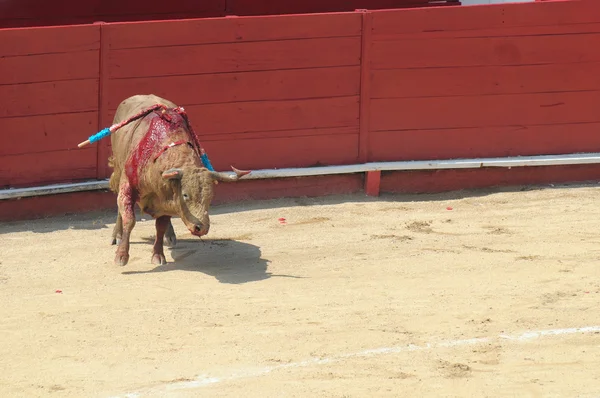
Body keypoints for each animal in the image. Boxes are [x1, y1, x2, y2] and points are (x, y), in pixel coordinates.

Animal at [107, 94, 248, 266]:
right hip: (118, 168)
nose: (201, 228)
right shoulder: (128, 185)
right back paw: (117, 236)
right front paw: (121, 256)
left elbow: (160, 226)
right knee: (120, 209)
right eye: (185, 195)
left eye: (210, 197)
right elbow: (129, 218)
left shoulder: (166, 197)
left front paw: (158, 255)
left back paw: (170, 236)